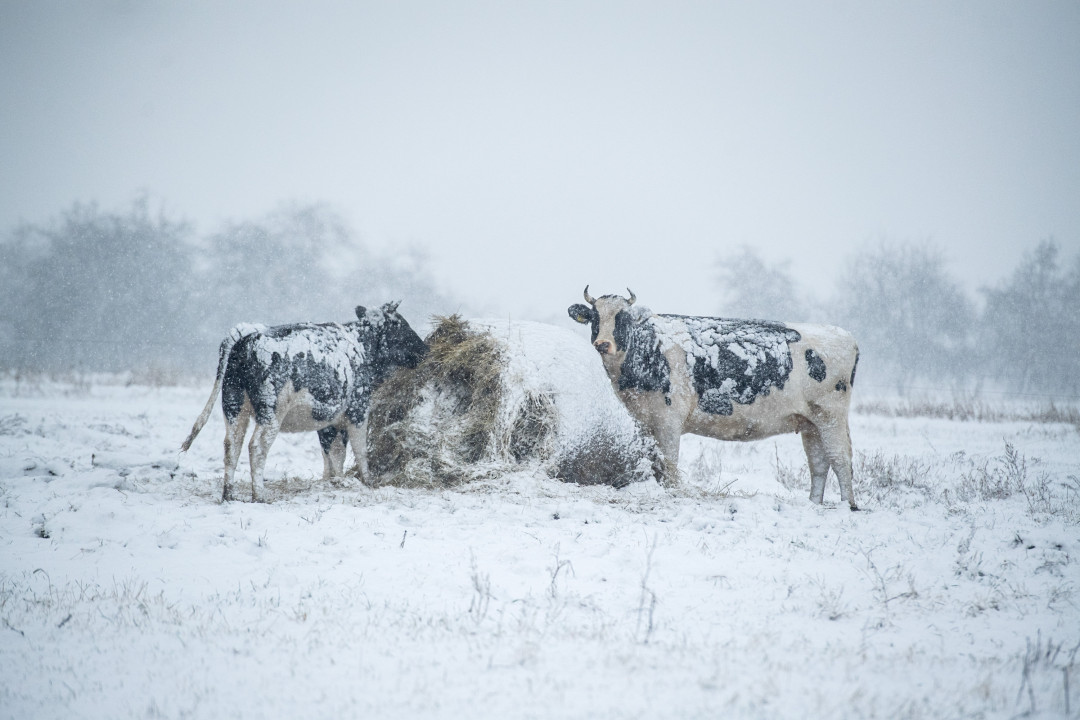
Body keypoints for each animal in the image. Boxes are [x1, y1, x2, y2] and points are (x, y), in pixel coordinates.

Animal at [181, 302, 425, 500]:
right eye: (400, 324)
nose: (424, 349)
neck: (362, 347)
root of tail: (247, 337)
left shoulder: (328, 420)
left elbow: (333, 454)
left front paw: (333, 482)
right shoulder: (358, 409)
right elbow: (360, 449)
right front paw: (367, 481)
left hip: (233, 407)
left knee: (232, 446)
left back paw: (229, 494)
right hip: (271, 412)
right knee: (256, 446)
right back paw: (259, 495)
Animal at [565, 284, 859, 509]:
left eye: (622, 318)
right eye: (594, 318)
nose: (603, 344)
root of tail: (844, 334)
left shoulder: (668, 420)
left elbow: (669, 463)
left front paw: (672, 493)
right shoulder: (642, 421)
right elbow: (651, 462)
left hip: (831, 415)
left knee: (840, 459)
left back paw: (848, 506)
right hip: (811, 422)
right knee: (819, 462)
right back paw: (814, 504)